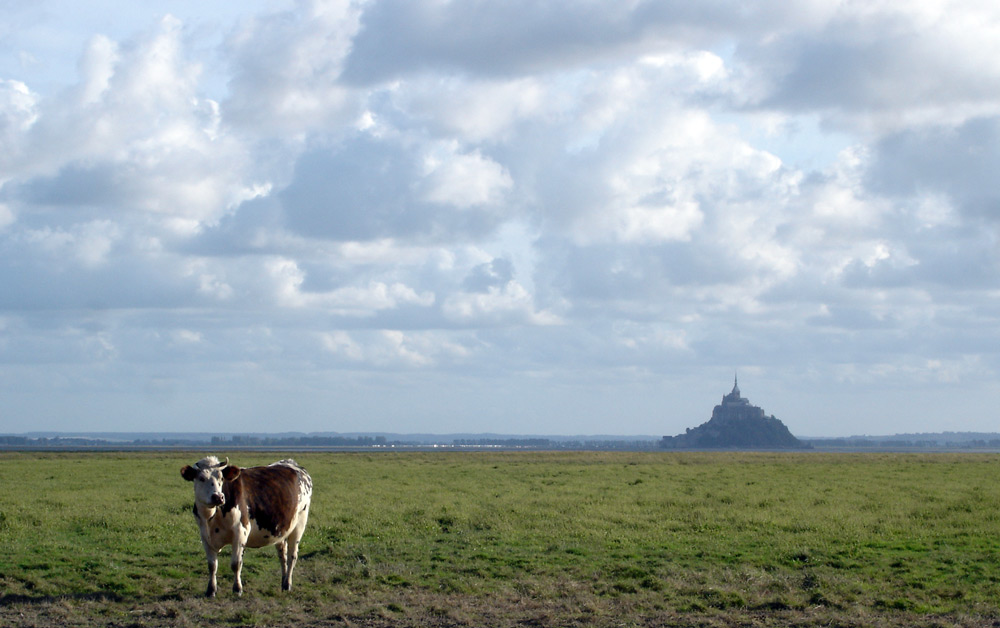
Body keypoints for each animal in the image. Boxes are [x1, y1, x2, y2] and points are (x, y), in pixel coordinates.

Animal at [182, 454, 310, 596]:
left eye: (221, 478)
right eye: (201, 478)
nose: (218, 497)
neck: (212, 517)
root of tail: (293, 464)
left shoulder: (240, 532)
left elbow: (236, 564)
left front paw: (237, 589)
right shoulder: (205, 536)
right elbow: (212, 565)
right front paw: (211, 590)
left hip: (300, 523)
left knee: (292, 556)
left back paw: (287, 584)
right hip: (280, 529)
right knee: (283, 555)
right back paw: (283, 582)